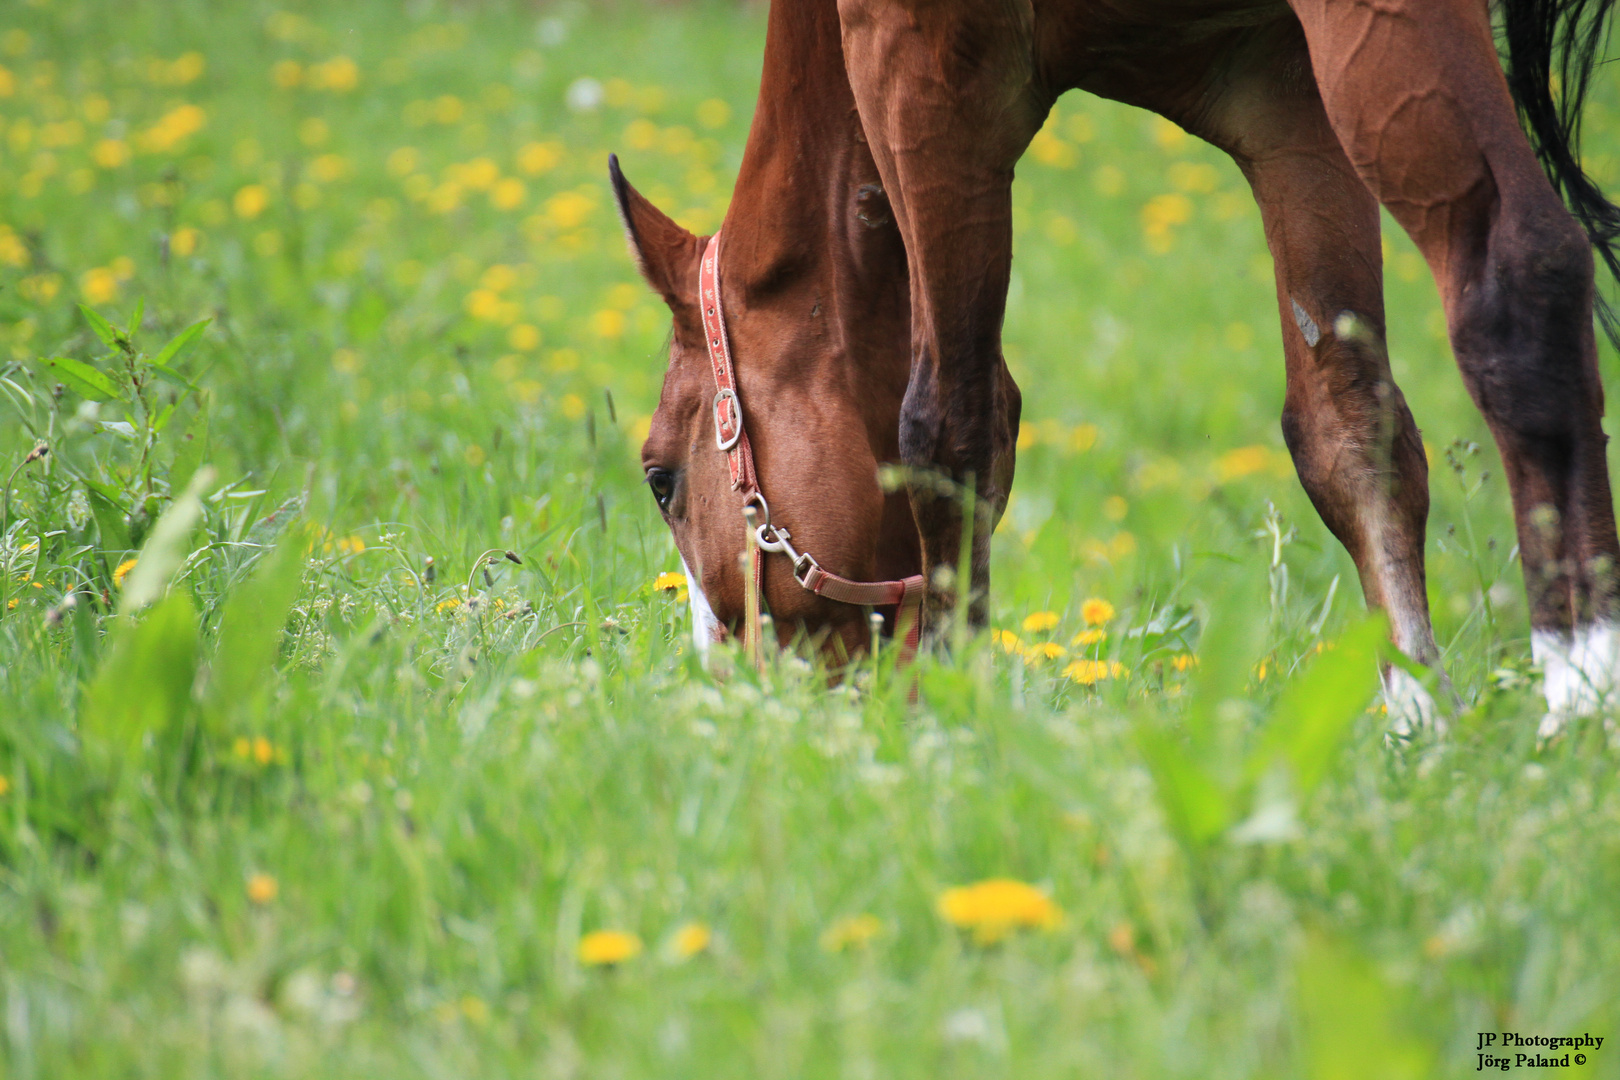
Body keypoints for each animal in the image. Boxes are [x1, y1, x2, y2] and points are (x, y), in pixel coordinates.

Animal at [609, 0, 1620, 731]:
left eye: (660, 479)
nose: (731, 693)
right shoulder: (1285, 95)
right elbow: (1346, 430)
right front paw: (1419, 728)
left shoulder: (915, 69)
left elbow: (947, 424)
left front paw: (952, 718)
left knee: (1520, 279)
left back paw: (1581, 703)